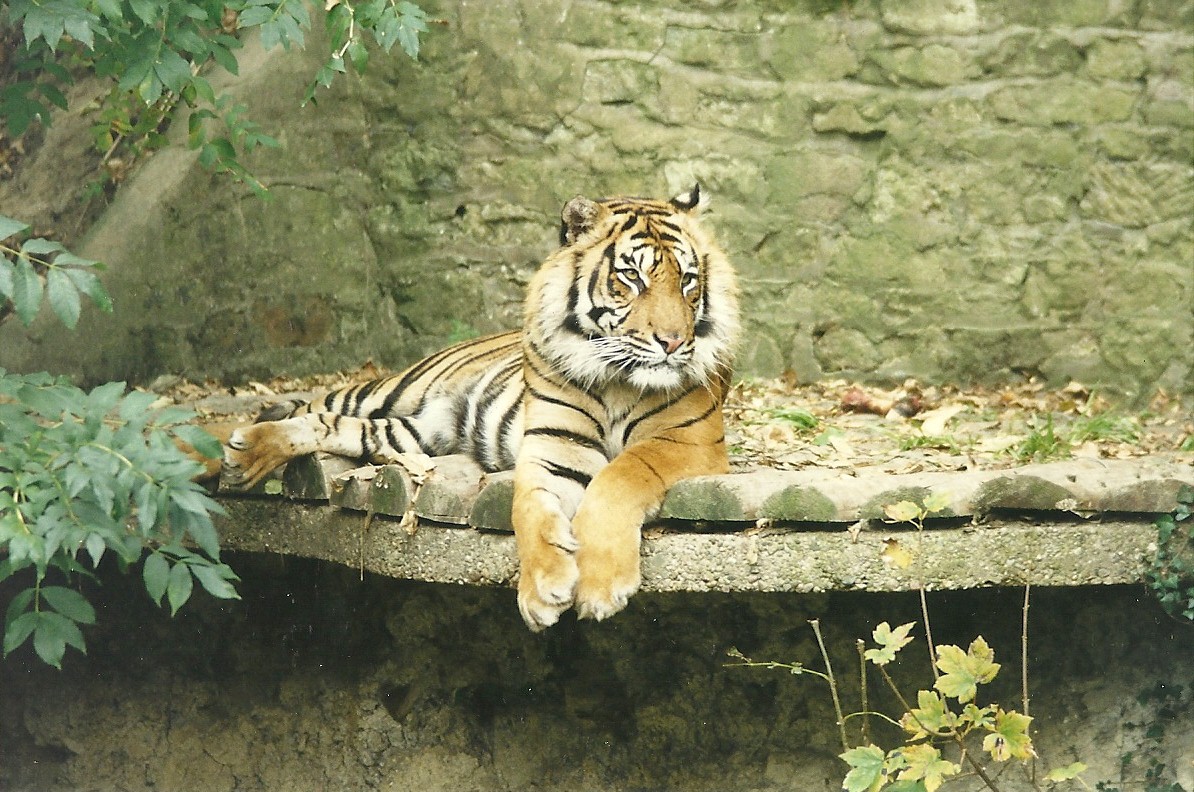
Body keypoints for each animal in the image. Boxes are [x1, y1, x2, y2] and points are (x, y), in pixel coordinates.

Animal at [222, 185, 740, 630]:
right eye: (631, 277)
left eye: (688, 281)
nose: (673, 342)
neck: (617, 379)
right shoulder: (554, 447)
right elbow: (529, 509)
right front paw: (542, 590)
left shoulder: (687, 442)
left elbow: (620, 477)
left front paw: (599, 587)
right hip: (390, 391)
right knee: (315, 406)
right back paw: (225, 456)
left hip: (408, 433)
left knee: (330, 423)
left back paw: (243, 456)